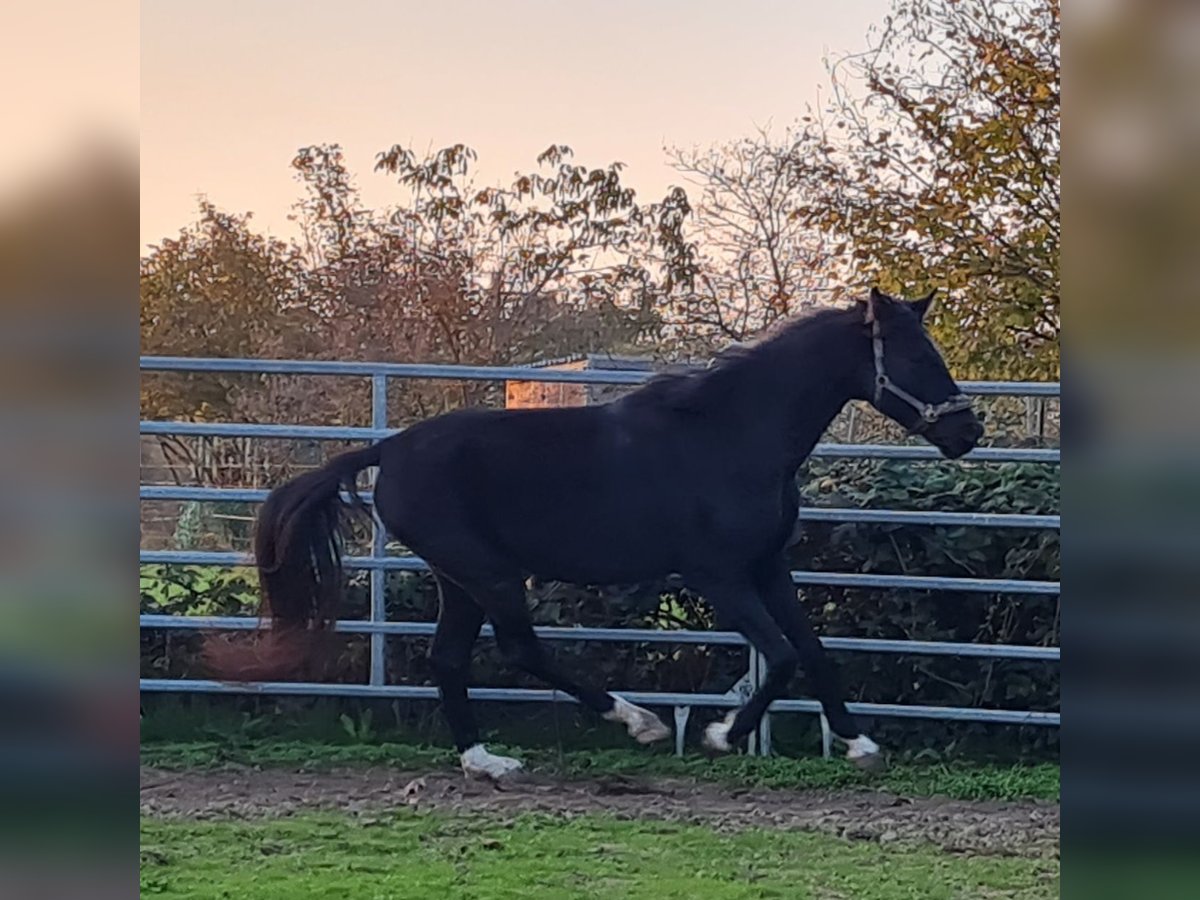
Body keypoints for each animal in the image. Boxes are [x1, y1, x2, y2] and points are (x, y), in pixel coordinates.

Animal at [218, 290, 984, 782]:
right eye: (918, 358)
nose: (967, 432)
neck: (730, 435)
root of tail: (388, 449)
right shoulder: (718, 576)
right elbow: (782, 657)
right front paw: (721, 734)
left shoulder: (770, 569)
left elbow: (814, 652)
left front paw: (860, 744)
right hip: (489, 574)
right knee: (520, 649)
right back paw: (637, 721)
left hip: (460, 580)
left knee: (449, 660)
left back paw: (487, 762)